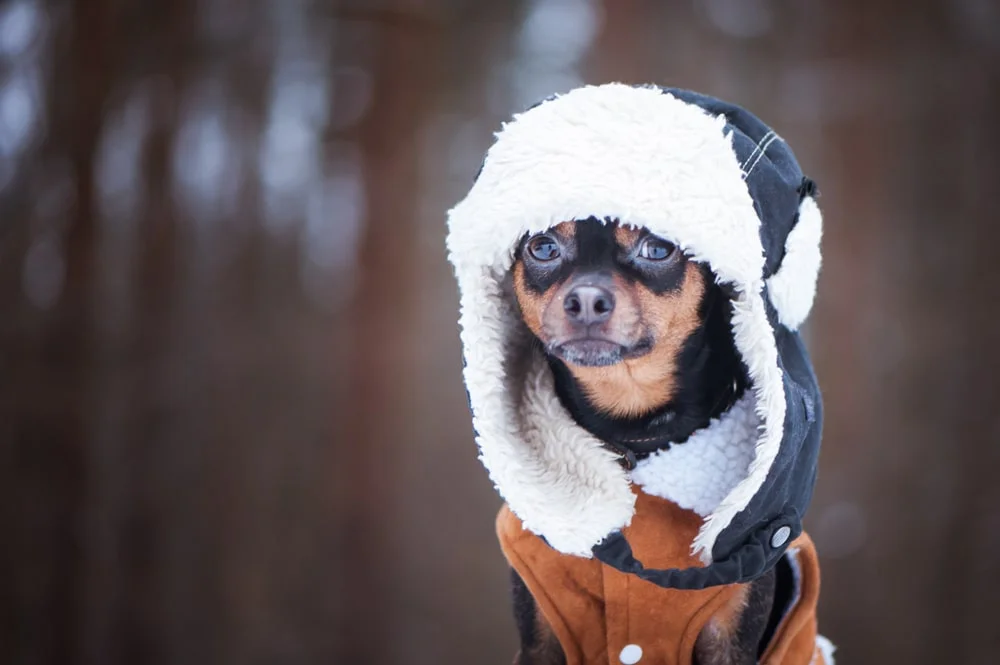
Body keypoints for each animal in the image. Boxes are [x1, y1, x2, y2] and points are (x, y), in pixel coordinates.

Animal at [512, 217, 784, 660]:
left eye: (657, 249)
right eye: (543, 247)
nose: (586, 298)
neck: (634, 427)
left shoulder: (732, 632)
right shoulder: (539, 634)